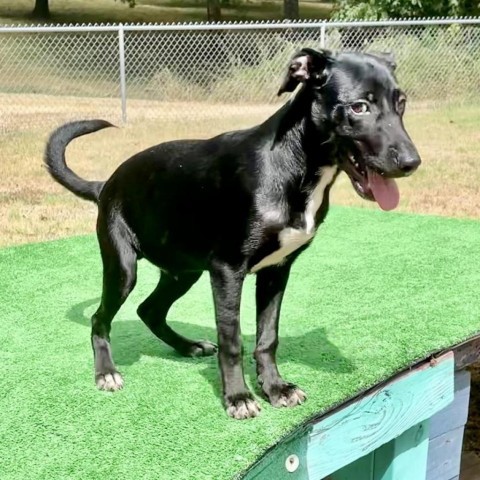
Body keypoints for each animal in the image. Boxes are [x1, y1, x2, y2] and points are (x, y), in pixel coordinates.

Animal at [45, 47, 420, 418]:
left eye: (401, 102)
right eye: (359, 107)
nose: (412, 163)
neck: (291, 165)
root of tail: (105, 184)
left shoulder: (276, 271)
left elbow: (267, 337)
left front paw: (275, 388)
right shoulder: (227, 271)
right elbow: (232, 340)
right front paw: (238, 397)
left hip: (184, 271)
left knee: (149, 310)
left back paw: (188, 346)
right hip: (124, 268)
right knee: (100, 318)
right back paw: (106, 372)